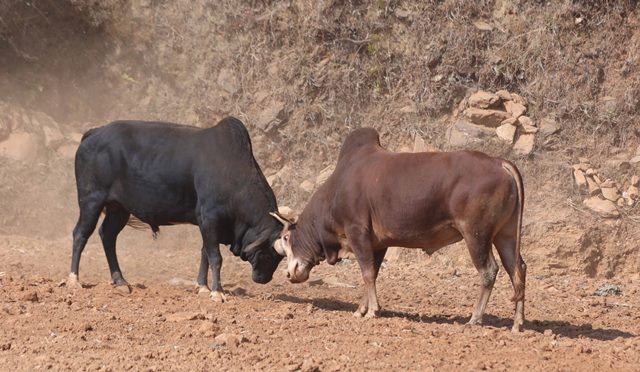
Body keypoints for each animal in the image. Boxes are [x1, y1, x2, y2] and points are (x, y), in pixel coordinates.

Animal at [68, 117, 284, 300]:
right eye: (269, 253)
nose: (263, 278)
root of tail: (95, 133)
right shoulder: (210, 218)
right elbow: (215, 256)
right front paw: (217, 292)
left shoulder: (205, 224)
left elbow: (205, 253)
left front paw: (202, 286)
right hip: (91, 201)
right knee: (80, 234)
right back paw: (74, 279)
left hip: (119, 209)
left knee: (107, 235)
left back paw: (120, 280)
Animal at [272, 127, 528, 332]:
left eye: (286, 237)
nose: (290, 273)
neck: (334, 193)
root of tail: (499, 162)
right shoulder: (378, 244)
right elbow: (371, 274)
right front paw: (361, 309)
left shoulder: (357, 233)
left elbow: (366, 273)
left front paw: (372, 311)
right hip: (504, 235)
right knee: (518, 269)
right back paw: (517, 323)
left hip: (476, 234)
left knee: (489, 271)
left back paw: (475, 319)